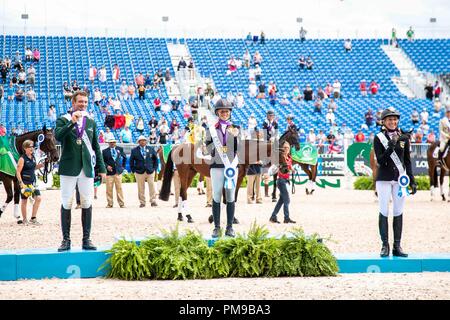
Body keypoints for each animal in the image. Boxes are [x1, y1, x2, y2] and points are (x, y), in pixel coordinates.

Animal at [158, 127, 298, 222]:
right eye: (280, 153)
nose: (286, 169)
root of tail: (177, 147)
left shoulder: (238, 179)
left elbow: (232, 198)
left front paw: (220, 218)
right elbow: (228, 199)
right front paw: (219, 218)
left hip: (191, 173)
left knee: (182, 193)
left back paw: (181, 216)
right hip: (184, 173)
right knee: (183, 193)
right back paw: (188, 216)